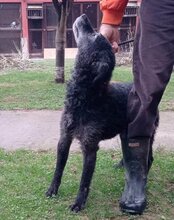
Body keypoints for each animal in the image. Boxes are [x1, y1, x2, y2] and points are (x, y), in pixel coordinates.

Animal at [46, 14, 156, 213]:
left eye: (95, 35)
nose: (84, 16)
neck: (85, 96)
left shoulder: (90, 148)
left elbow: (84, 181)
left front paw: (78, 203)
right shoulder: (64, 138)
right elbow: (58, 169)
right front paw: (52, 190)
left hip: (146, 134)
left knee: (149, 158)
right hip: (125, 133)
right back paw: (122, 164)